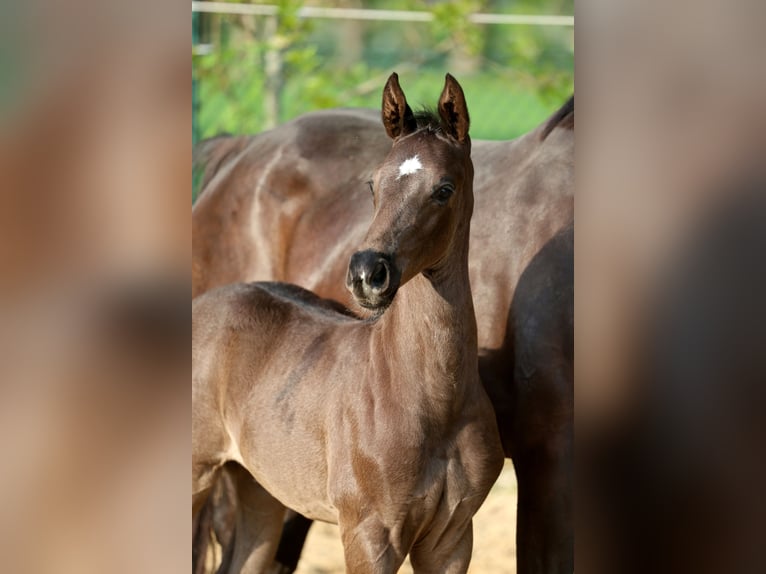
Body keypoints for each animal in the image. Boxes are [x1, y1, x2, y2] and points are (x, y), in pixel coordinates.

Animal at [192, 90, 574, 572]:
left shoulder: (451, 536)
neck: (422, 393)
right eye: (373, 185)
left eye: (444, 189)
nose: (366, 274)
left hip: (259, 488)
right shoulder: (370, 533)